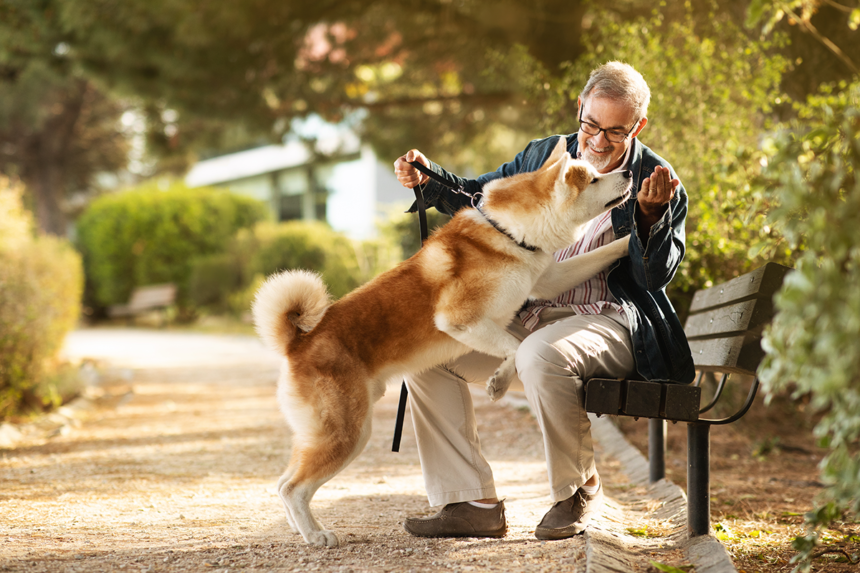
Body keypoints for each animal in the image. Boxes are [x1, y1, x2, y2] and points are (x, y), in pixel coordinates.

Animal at [249, 136, 632, 548]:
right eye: (593, 179)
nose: (629, 173)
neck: (509, 233)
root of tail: (298, 343)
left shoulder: (549, 279)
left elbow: (603, 254)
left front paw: (638, 236)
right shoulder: (459, 319)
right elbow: (517, 349)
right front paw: (499, 383)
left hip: (334, 432)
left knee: (285, 484)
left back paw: (300, 528)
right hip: (347, 433)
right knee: (293, 487)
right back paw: (316, 535)